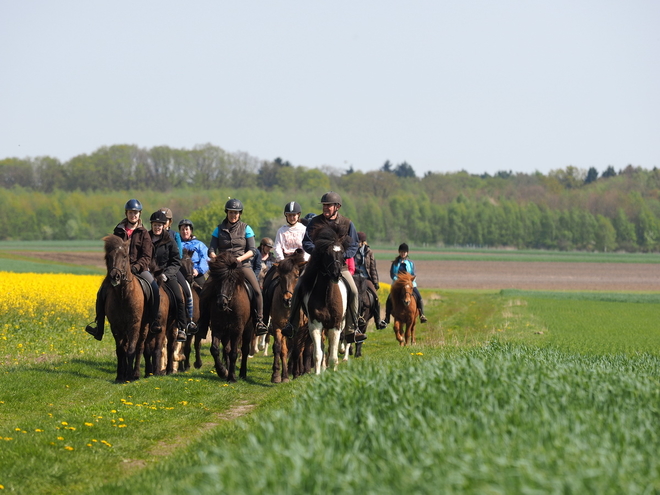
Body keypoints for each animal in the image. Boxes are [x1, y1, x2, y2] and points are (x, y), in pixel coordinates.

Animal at [102, 236, 150, 384]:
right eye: (108, 257)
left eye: (124, 256)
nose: (115, 276)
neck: (123, 295)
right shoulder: (116, 326)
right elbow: (120, 350)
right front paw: (120, 375)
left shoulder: (134, 324)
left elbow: (131, 350)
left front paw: (130, 376)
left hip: (144, 326)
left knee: (140, 347)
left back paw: (136, 373)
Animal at [205, 252, 251, 384]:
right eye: (217, 280)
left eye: (231, 280)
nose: (221, 304)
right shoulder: (217, 328)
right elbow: (215, 349)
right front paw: (222, 371)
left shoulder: (237, 330)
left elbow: (234, 353)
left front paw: (232, 377)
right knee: (226, 349)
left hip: (248, 329)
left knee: (244, 349)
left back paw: (242, 373)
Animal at [268, 252, 306, 384]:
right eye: (280, 278)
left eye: (296, 276)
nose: (287, 300)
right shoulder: (278, 327)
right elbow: (280, 349)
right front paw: (278, 376)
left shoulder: (300, 330)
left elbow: (296, 351)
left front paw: (295, 374)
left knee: (300, 349)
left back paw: (299, 371)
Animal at [300, 224, 350, 372]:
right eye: (327, 254)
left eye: (342, 253)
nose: (336, 274)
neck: (326, 297)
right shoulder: (315, 324)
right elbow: (317, 354)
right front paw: (318, 373)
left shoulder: (335, 325)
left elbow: (333, 357)